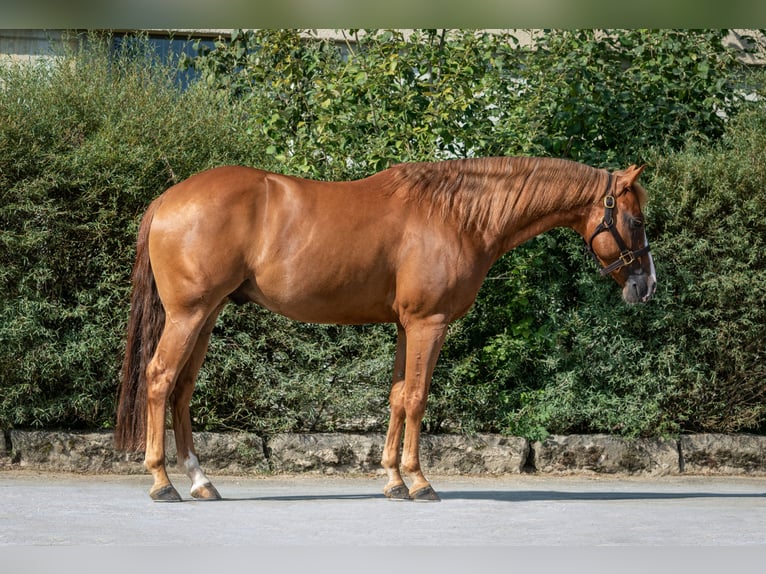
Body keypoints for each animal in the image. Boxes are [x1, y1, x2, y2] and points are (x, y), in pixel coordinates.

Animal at [115, 156, 656, 502]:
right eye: (635, 219)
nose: (646, 285)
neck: (457, 216)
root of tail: (168, 198)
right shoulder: (428, 324)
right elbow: (417, 398)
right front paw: (419, 482)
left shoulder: (404, 326)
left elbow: (397, 396)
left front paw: (393, 480)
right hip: (189, 315)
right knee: (160, 380)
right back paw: (162, 483)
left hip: (206, 316)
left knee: (183, 390)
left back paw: (200, 481)